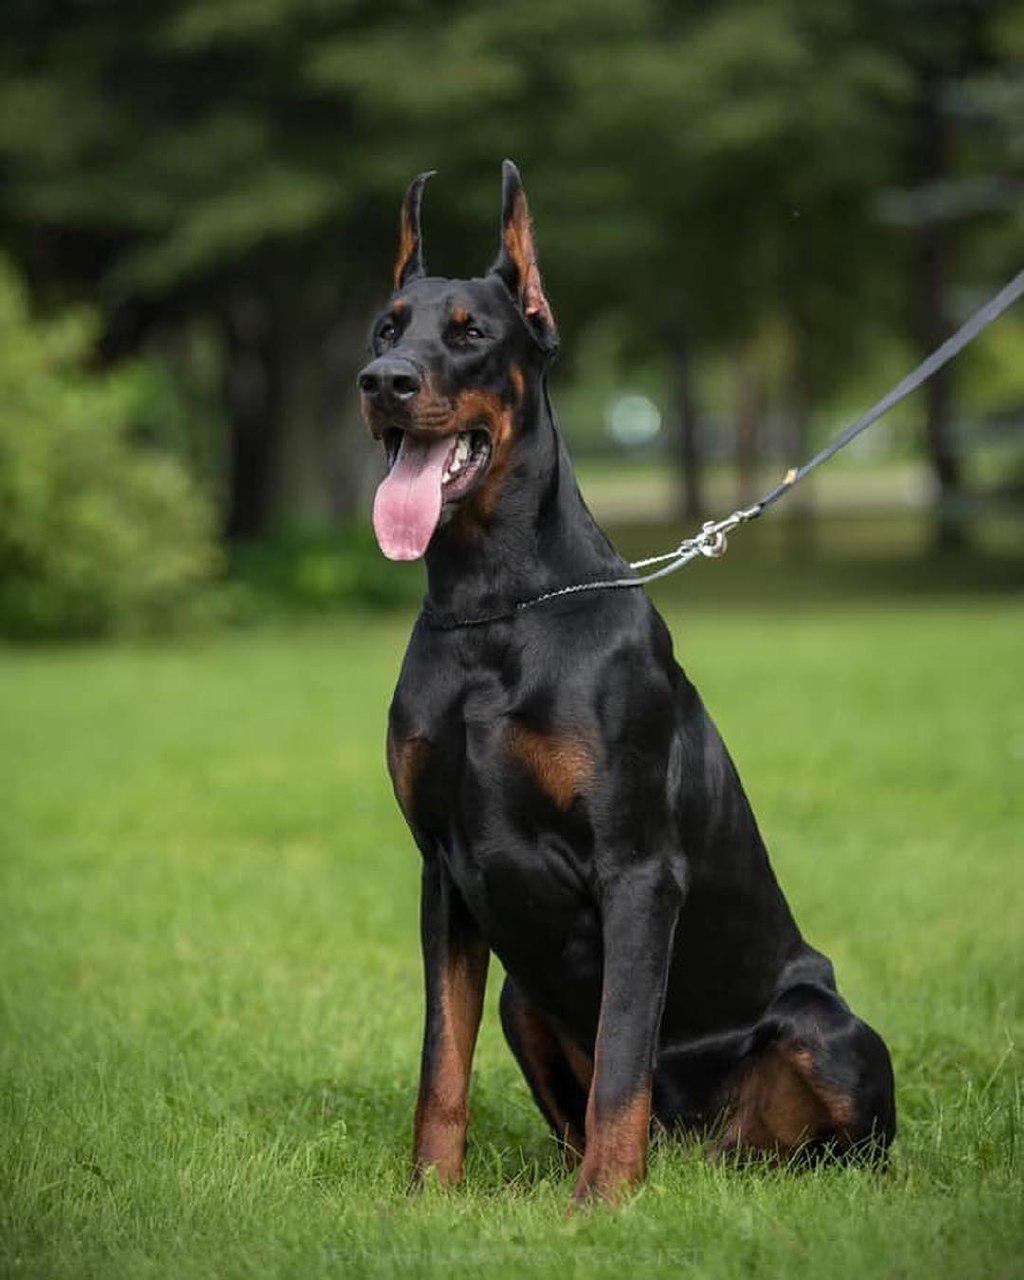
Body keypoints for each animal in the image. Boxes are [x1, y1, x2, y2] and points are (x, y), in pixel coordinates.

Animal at [358, 162, 896, 1208]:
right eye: (385, 327)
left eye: (471, 333)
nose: (383, 384)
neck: (497, 606)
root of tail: (711, 1153)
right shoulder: (443, 873)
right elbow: (442, 1063)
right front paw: (428, 1196)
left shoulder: (639, 871)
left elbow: (620, 1061)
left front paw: (601, 1209)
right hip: (524, 994)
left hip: (827, 1029)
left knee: (847, 1144)